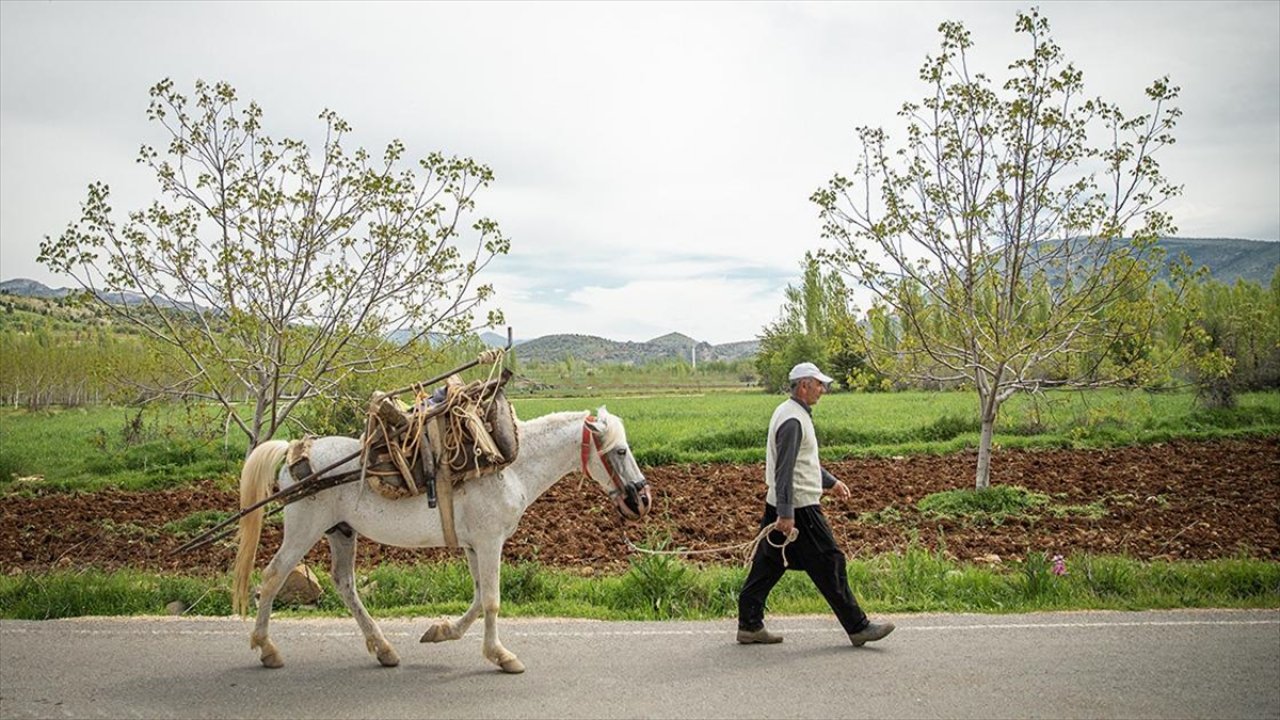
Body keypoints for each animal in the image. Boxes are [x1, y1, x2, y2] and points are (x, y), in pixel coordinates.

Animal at [229, 407, 650, 671]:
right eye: (621, 450)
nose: (642, 499)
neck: (509, 465)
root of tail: (295, 449)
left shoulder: (474, 545)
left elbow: (479, 598)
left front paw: (442, 632)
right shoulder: (489, 542)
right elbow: (492, 600)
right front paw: (500, 655)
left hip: (341, 532)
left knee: (344, 583)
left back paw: (383, 648)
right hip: (304, 529)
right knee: (273, 577)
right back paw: (267, 648)